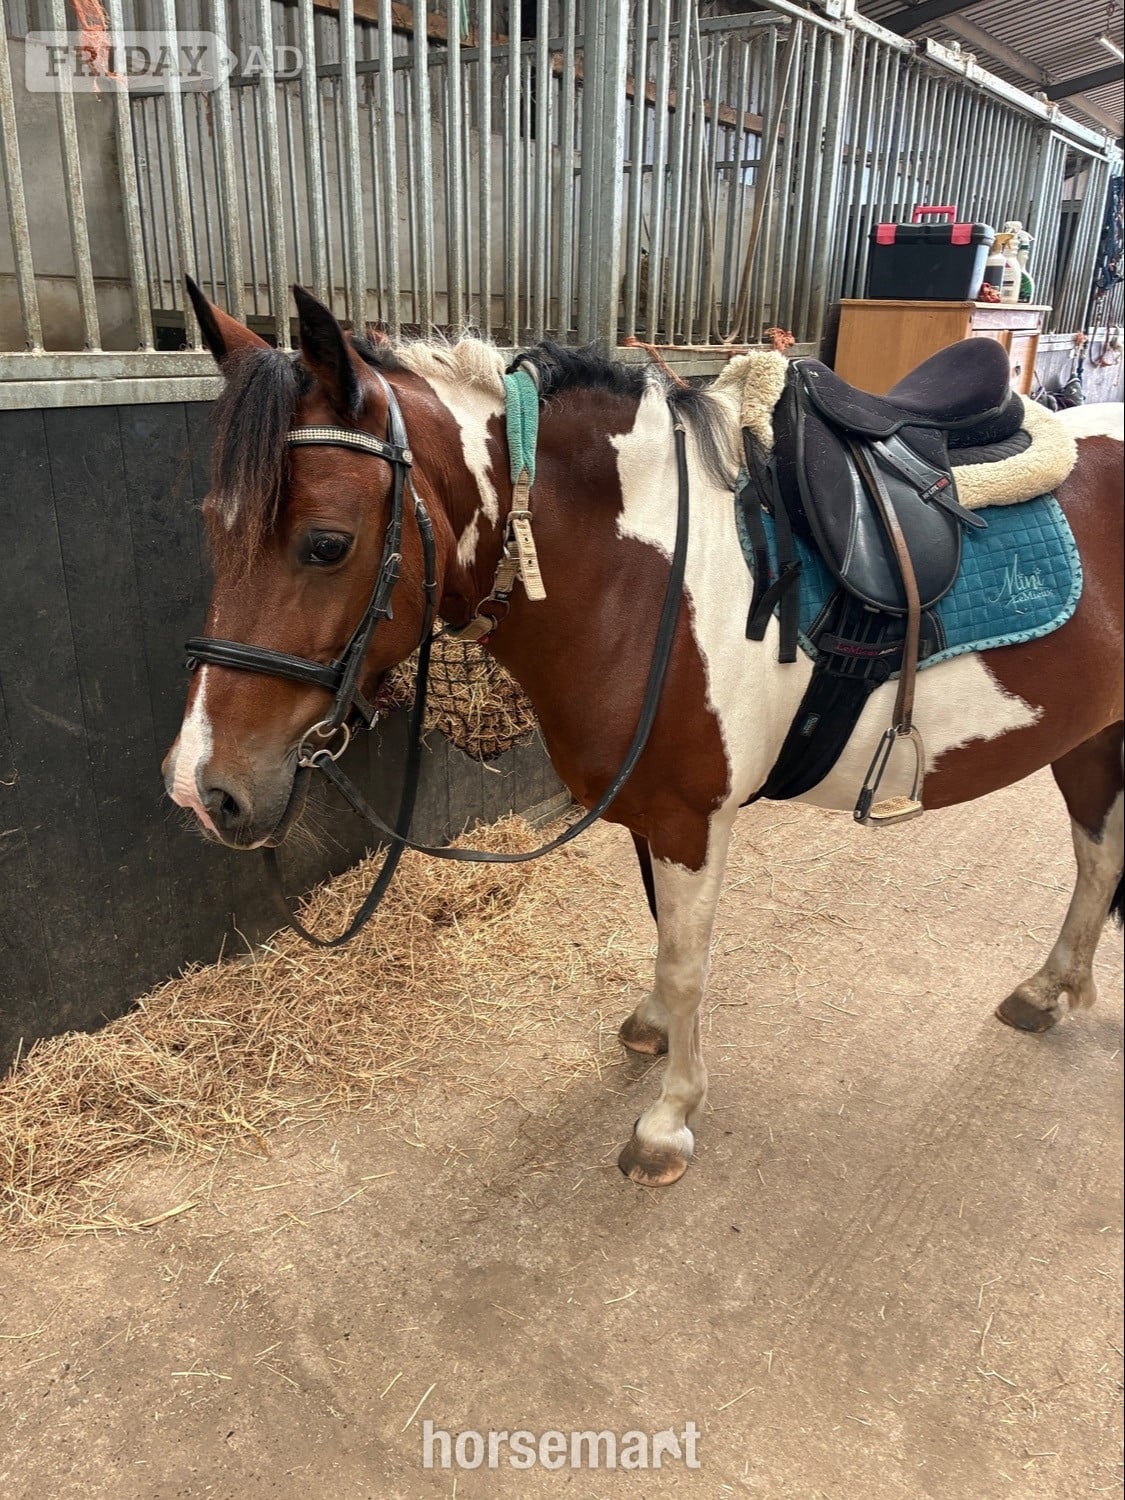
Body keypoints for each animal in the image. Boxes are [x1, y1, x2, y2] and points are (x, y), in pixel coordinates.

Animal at [163, 282, 1124, 1187]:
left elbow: (686, 961)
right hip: (1090, 741)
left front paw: (667, 1122)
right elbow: (663, 941)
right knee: (1097, 859)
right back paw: (1048, 989)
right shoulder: (651, 813)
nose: (202, 788)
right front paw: (655, 1033)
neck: (640, 576)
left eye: (326, 544)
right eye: (210, 525)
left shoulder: (692, 821)